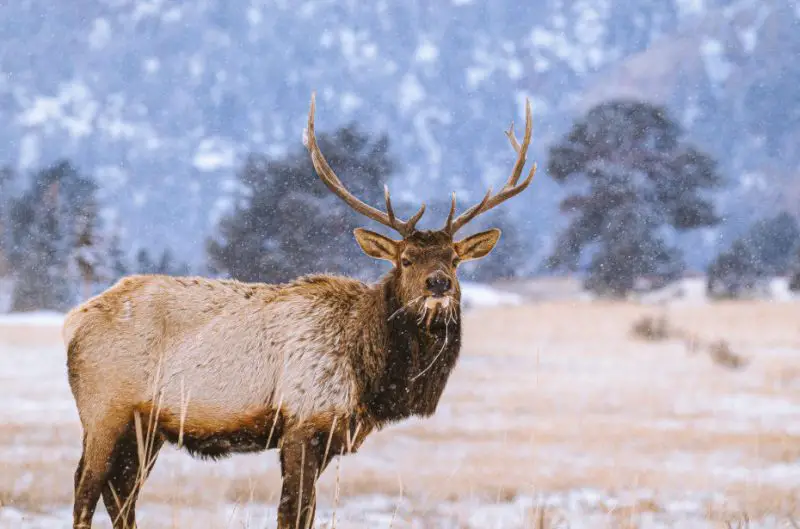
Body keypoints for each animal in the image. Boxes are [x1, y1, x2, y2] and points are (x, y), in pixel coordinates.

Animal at [63, 92, 536, 529]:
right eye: (405, 259)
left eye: (454, 259)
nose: (438, 284)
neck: (371, 374)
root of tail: (74, 321)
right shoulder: (303, 422)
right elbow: (292, 512)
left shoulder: (331, 435)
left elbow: (303, 513)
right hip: (105, 409)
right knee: (86, 489)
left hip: (146, 427)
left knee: (121, 494)